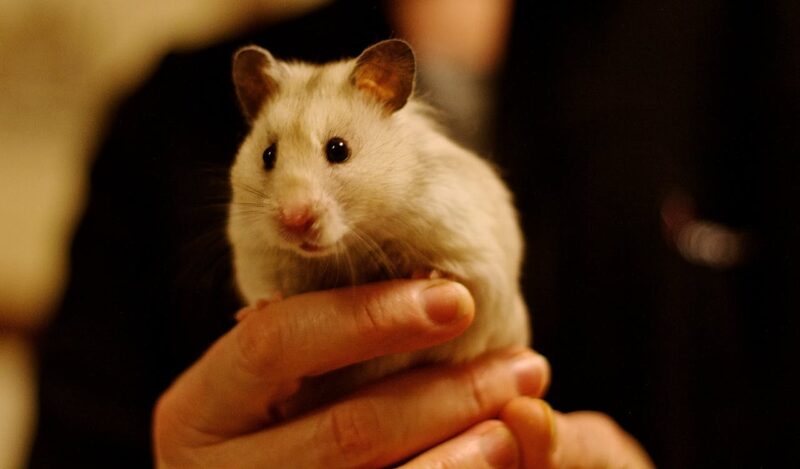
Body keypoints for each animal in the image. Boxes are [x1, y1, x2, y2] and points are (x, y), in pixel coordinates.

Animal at [227, 39, 529, 414]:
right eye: (268, 155)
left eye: (338, 149)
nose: (294, 221)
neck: (354, 243)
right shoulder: (256, 254)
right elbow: (268, 290)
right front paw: (257, 311)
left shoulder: (475, 255)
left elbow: (463, 282)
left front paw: (428, 276)